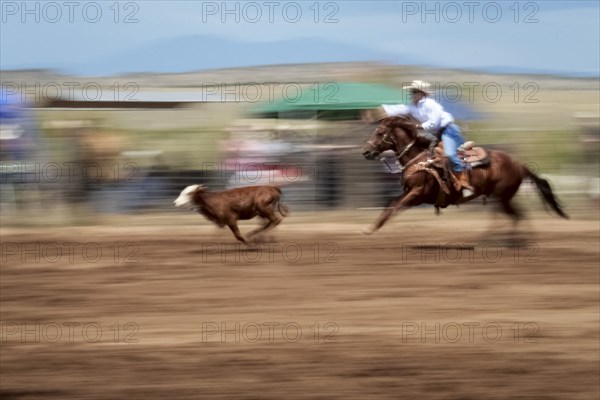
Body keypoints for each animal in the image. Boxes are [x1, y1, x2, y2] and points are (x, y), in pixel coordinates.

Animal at [360, 115, 568, 234]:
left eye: (380, 132)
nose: (366, 152)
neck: (419, 158)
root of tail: (520, 165)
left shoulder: (418, 193)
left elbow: (395, 207)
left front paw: (370, 228)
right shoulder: (408, 191)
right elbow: (390, 203)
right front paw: (371, 227)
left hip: (503, 196)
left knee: (516, 216)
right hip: (501, 197)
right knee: (513, 216)